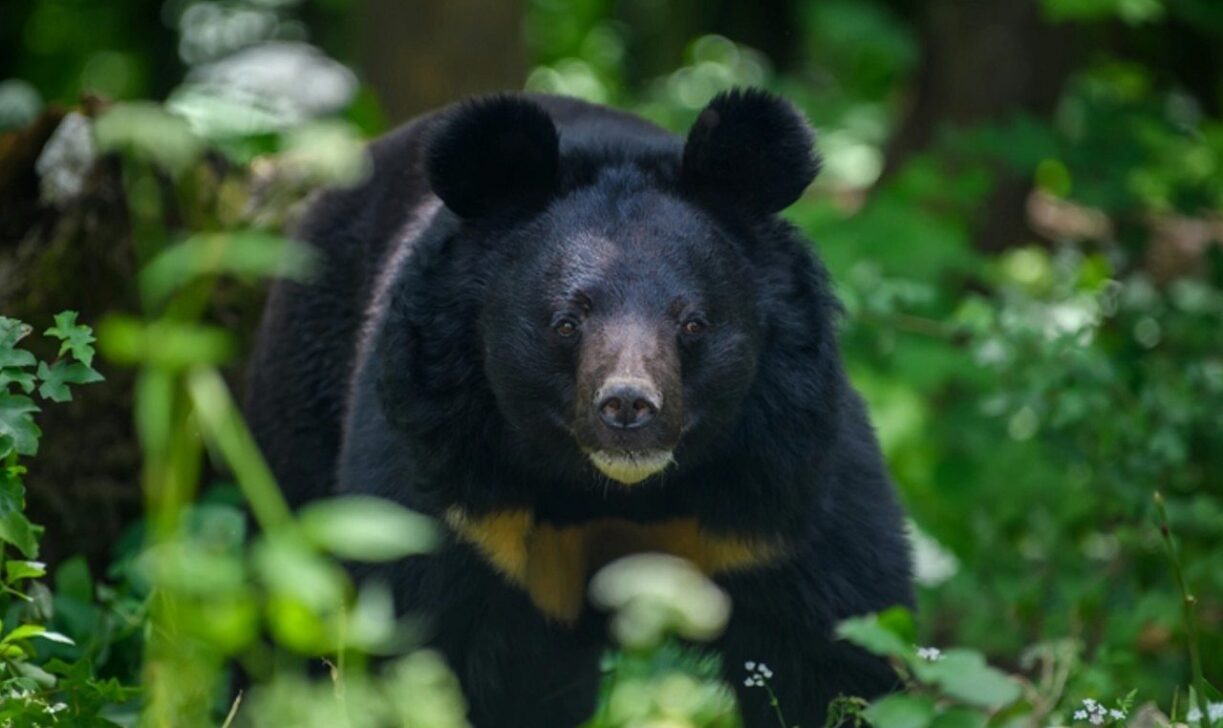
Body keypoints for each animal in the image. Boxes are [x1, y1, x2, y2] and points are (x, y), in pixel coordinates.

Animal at [246, 89, 914, 727]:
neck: (613, 491)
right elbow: (416, 639)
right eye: (567, 323)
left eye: (692, 323)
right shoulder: (455, 493)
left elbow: (837, 649)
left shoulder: (779, 494)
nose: (628, 407)